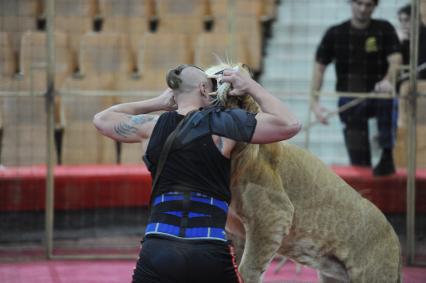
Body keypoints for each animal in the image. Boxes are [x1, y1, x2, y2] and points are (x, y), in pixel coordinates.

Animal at [205, 63, 402, 283]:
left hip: (373, 274)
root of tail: (396, 242)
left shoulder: (274, 215)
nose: (224, 73)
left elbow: (248, 268)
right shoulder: (238, 235)